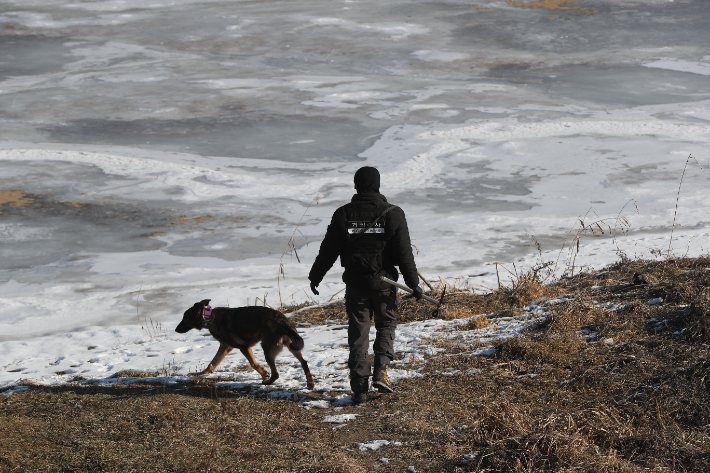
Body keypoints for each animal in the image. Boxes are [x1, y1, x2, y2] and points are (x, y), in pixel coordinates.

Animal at [175, 298, 314, 388]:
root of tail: (283, 322)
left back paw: (267, 382)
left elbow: (253, 364)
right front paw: (201, 374)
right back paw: (310, 383)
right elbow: (212, 363)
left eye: (185, 318)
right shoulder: (225, 347)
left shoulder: (243, 347)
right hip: (292, 347)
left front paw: (264, 373)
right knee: (304, 363)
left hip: (268, 350)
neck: (209, 317)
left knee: (276, 374)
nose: (176, 330)